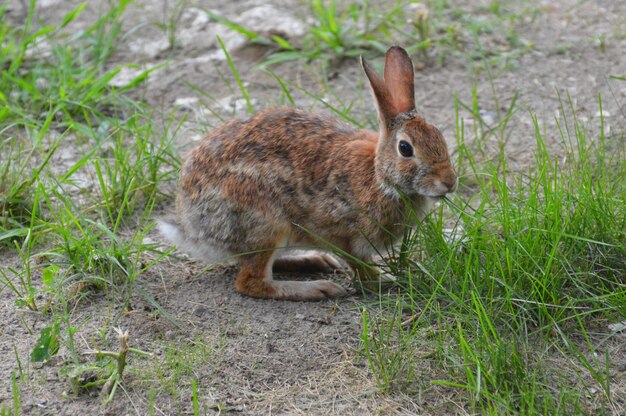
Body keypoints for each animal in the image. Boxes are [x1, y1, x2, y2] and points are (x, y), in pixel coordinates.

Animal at [158, 45, 456, 300]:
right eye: (405, 148)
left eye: (440, 137)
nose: (449, 182)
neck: (379, 176)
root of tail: (192, 224)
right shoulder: (343, 233)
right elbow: (359, 265)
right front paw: (385, 281)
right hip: (265, 221)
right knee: (250, 282)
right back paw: (317, 288)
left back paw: (314, 260)